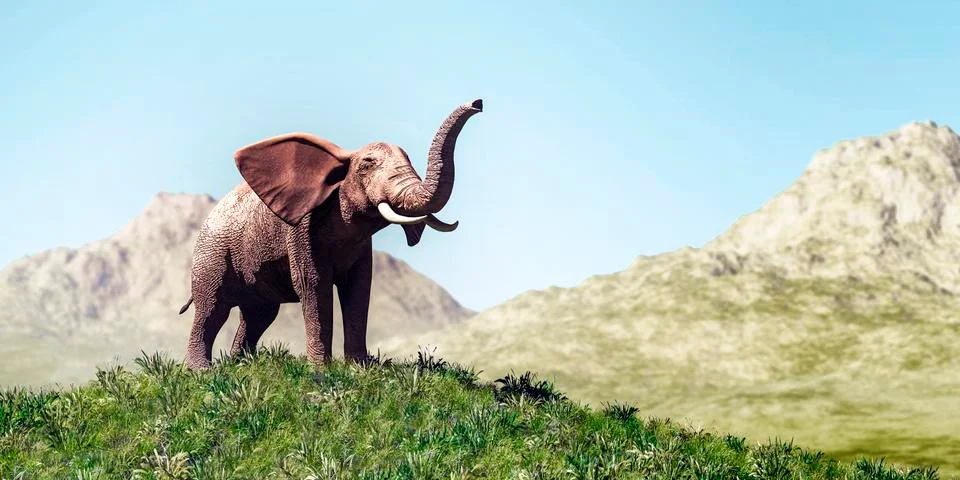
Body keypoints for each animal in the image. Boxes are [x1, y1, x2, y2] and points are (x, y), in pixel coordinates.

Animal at [178, 99, 483, 370]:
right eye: (367, 165)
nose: (478, 103)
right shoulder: (301, 229)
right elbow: (313, 283)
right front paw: (321, 369)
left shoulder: (361, 243)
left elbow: (359, 286)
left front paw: (360, 368)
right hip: (211, 256)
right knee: (212, 309)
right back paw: (201, 371)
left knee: (258, 315)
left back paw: (241, 365)